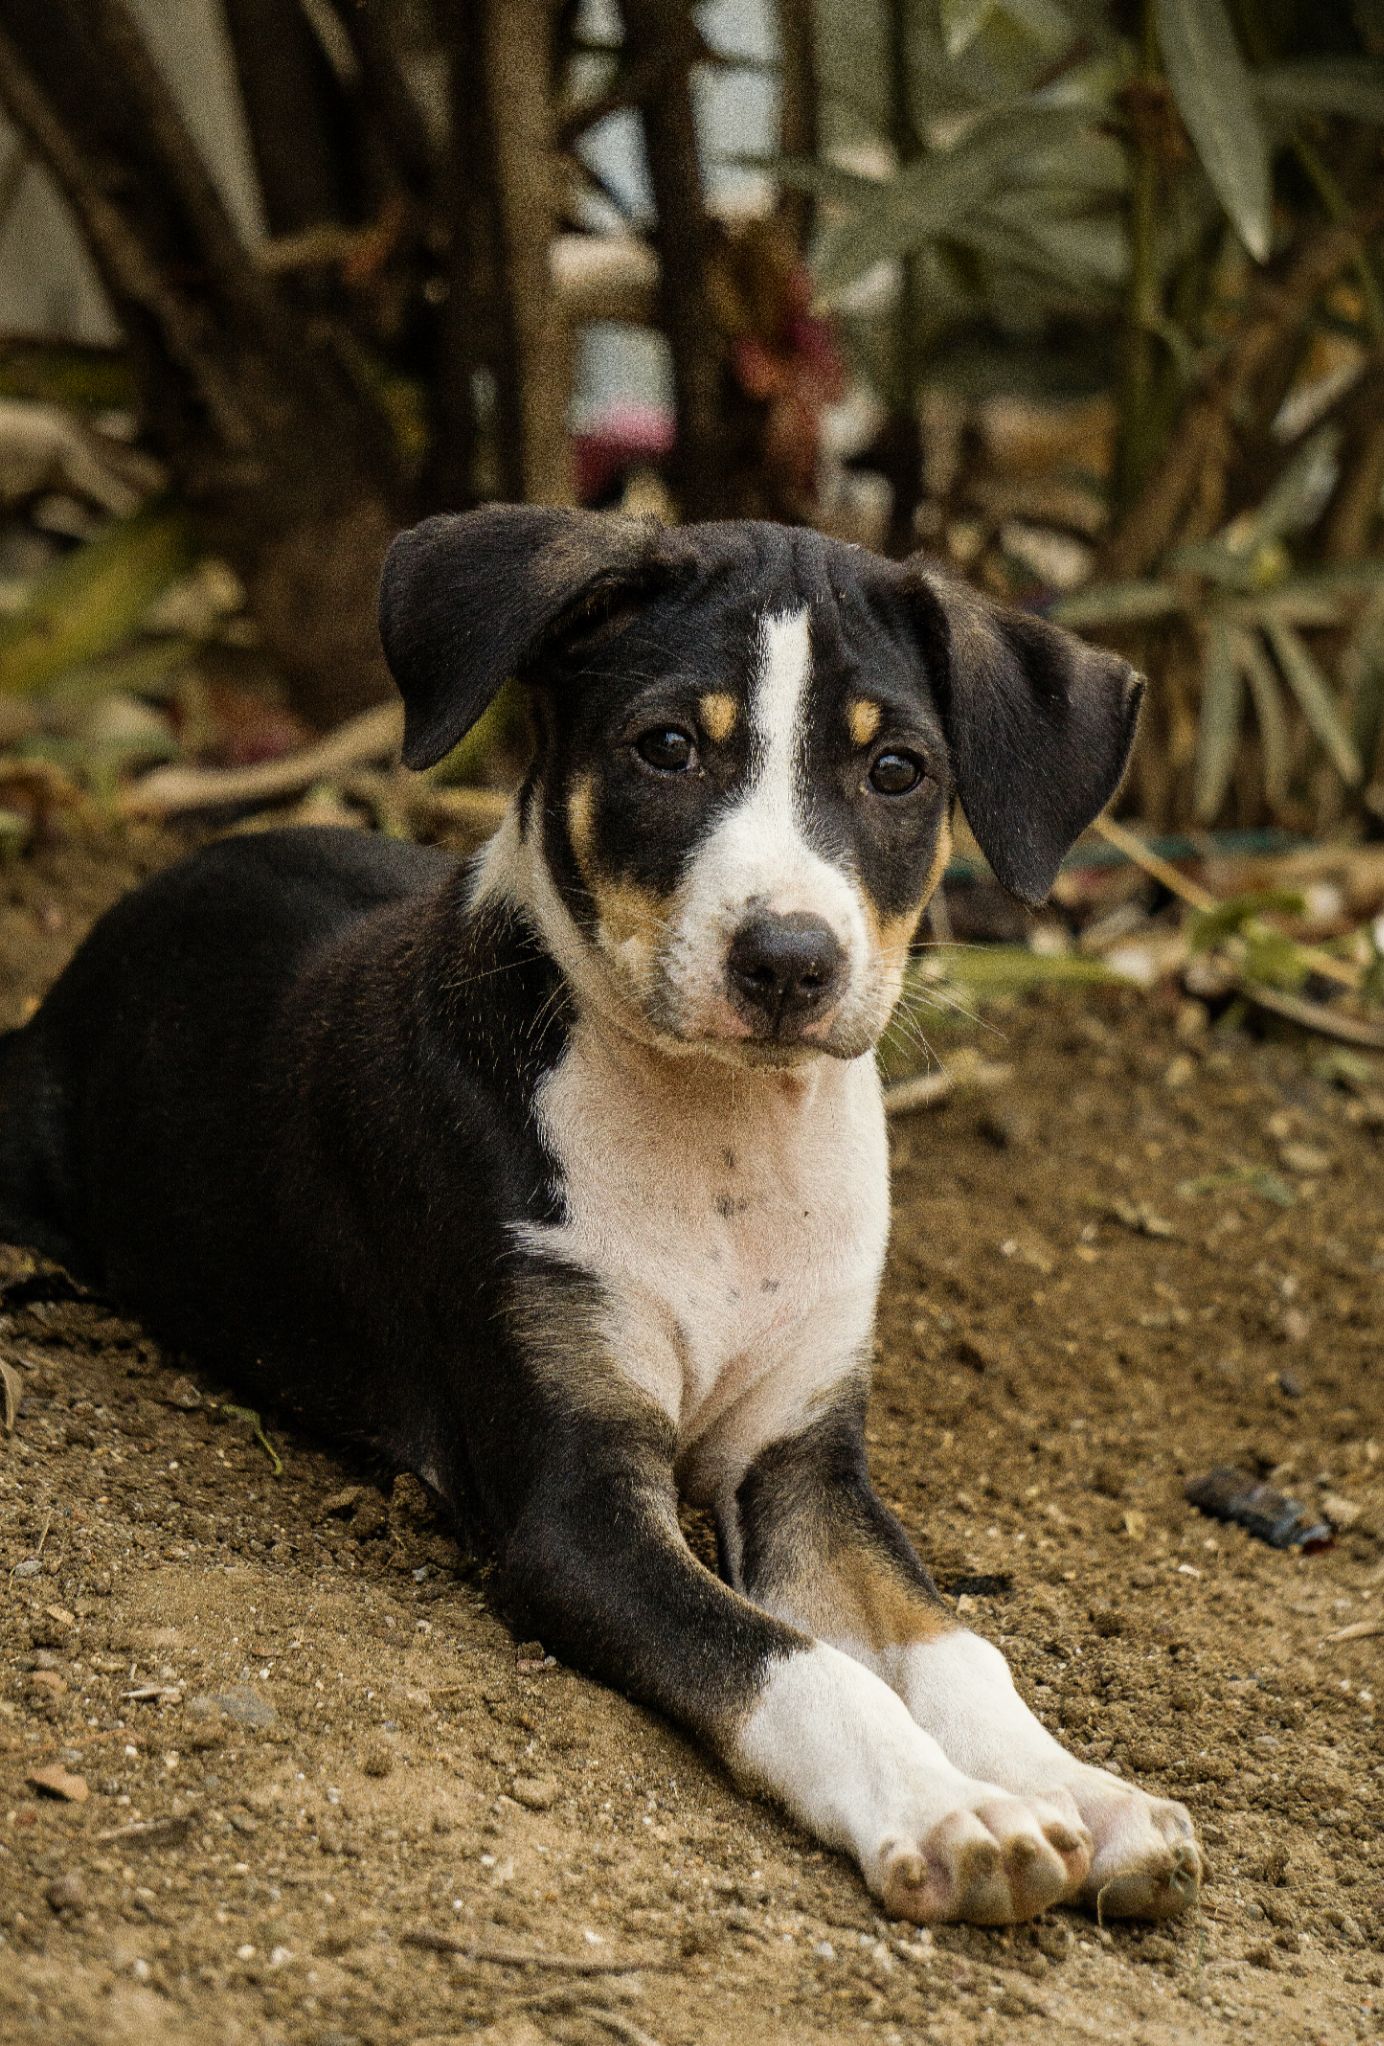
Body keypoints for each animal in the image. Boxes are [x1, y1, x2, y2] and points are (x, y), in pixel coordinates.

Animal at [0, 511, 1203, 1931]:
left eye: (897, 770)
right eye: (666, 747)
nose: (789, 963)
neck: (722, 1147)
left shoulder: (805, 1462)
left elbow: (948, 1642)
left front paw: (1082, 1789)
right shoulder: (574, 1509)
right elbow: (791, 1661)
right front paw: (949, 1809)